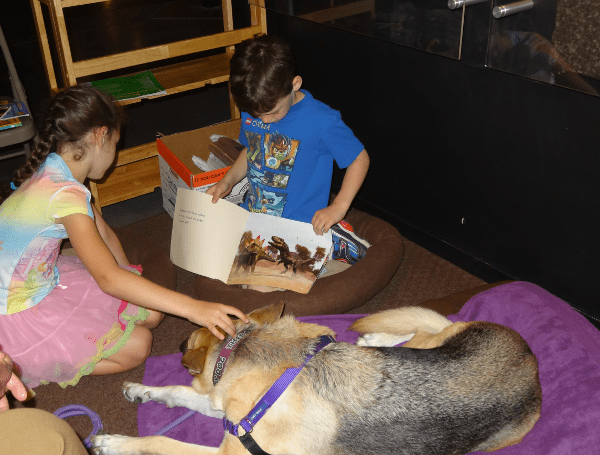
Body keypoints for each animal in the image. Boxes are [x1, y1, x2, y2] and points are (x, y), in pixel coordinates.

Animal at [91, 302, 540, 455]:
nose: (180, 339)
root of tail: (530, 361)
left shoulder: (230, 448)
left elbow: (160, 440)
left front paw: (115, 443)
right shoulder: (226, 409)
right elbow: (177, 391)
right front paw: (141, 389)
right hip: (433, 343)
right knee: (421, 329)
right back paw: (374, 338)